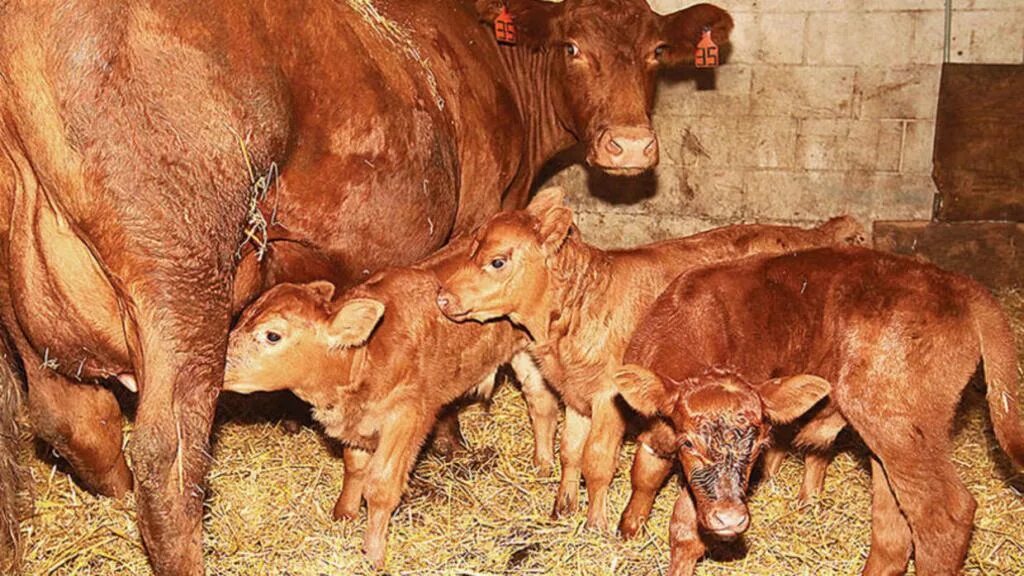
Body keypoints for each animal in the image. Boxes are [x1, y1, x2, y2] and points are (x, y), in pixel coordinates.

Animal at [223, 262, 557, 565]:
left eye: (272, 336)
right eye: (244, 316)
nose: (221, 365)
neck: (364, 357)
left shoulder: (408, 416)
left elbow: (381, 485)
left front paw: (373, 553)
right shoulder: (357, 423)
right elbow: (354, 466)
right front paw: (344, 513)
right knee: (540, 399)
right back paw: (542, 465)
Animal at [432, 188, 864, 528]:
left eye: (497, 260)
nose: (443, 297)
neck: (578, 309)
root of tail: (814, 233)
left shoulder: (609, 396)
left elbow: (597, 459)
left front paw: (596, 523)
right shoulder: (576, 394)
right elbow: (570, 451)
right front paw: (563, 507)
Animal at [610, 247, 1019, 573]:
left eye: (759, 447)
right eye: (689, 444)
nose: (732, 517)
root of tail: (957, 283)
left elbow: (684, 530)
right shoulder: (657, 431)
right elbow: (644, 474)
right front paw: (628, 528)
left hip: (899, 423)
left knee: (943, 517)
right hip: (888, 437)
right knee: (893, 529)